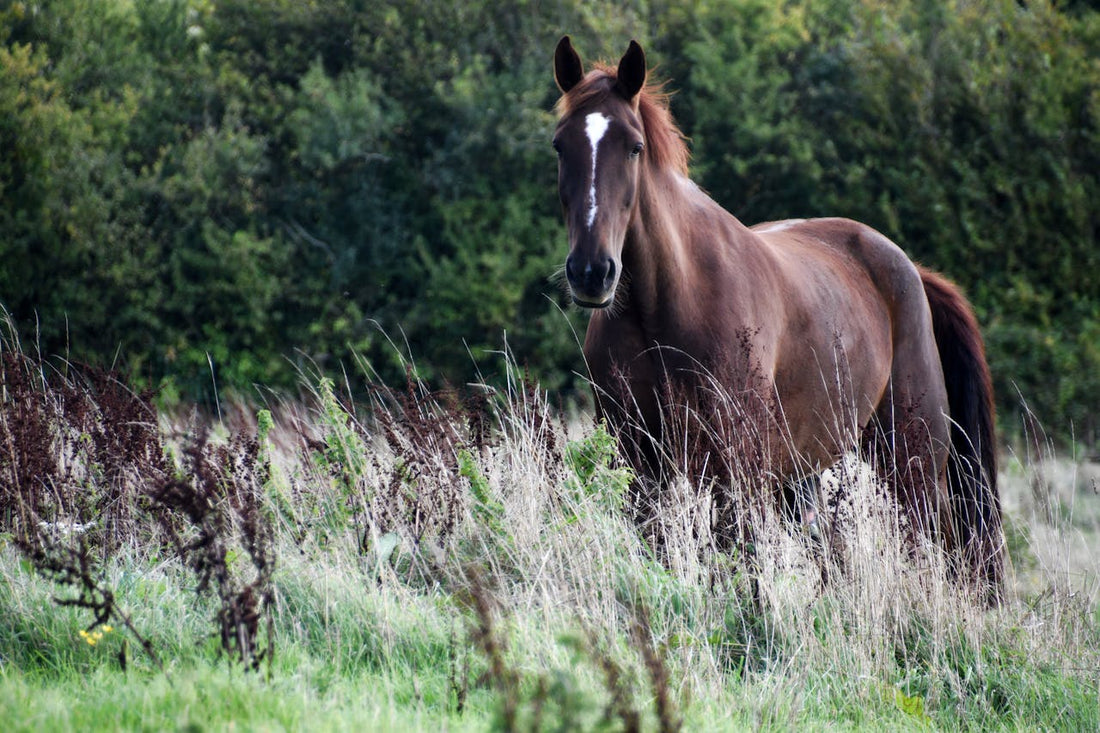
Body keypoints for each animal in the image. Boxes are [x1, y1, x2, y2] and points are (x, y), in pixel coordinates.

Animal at [551, 36, 1004, 599]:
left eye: (634, 147)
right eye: (560, 146)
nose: (592, 272)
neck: (667, 305)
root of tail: (910, 271)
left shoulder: (736, 468)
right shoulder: (638, 460)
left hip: (911, 461)